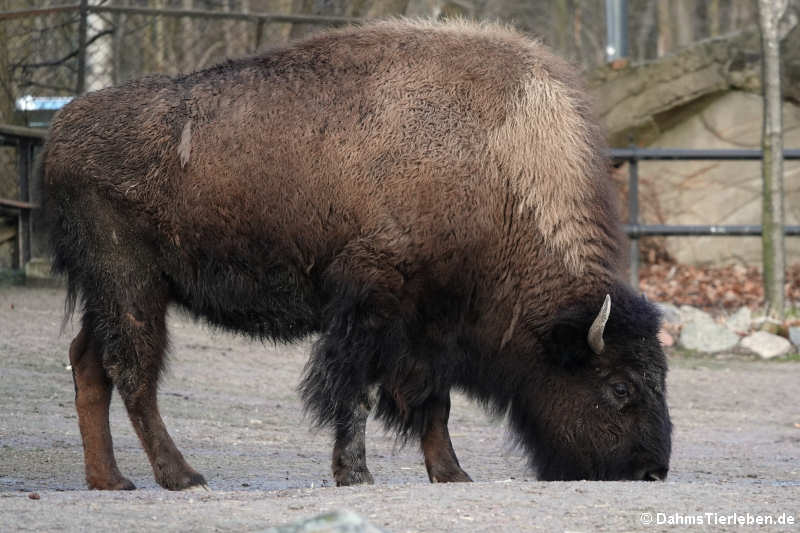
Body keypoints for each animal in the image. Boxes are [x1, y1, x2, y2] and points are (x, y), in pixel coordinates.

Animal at [42, 17, 668, 490]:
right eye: (620, 387)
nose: (652, 471)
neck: (498, 164)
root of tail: (60, 130)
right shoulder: (372, 304)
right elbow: (357, 393)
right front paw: (356, 474)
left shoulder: (433, 327)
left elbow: (433, 402)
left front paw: (451, 474)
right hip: (132, 284)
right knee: (134, 373)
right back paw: (182, 477)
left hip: (115, 292)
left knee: (90, 364)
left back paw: (111, 481)